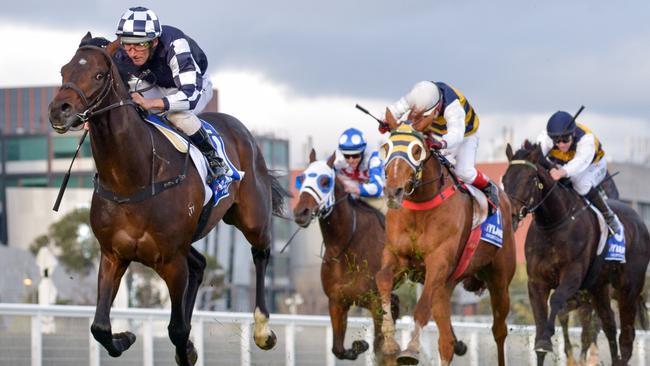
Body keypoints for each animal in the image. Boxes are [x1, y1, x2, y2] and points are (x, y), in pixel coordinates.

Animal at [48, 33, 286, 364]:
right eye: (63, 71)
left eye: (98, 75)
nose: (59, 110)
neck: (132, 178)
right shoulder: (113, 255)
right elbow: (100, 327)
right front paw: (126, 337)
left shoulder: (173, 261)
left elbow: (176, 330)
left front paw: (184, 347)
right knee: (199, 264)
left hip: (251, 218)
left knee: (261, 253)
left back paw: (263, 330)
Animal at [292, 149, 398, 360]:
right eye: (302, 178)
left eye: (325, 181)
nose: (301, 213)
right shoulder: (336, 301)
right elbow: (338, 349)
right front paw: (358, 346)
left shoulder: (375, 303)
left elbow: (380, 348)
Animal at [378, 113, 512, 364]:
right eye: (385, 148)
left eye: (416, 150)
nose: (393, 192)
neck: (421, 205)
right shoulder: (396, 256)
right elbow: (382, 279)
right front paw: (390, 342)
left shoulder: (438, 262)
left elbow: (421, 308)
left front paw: (411, 349)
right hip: (446, 286)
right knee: (447, 342)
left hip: (499, 278)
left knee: (499, 331)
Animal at [502, 141, 648, 366]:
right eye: (504, 179)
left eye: (529, 179)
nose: (510, 216)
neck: (555, 224)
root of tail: (640, 222)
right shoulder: (536, 280)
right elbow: (540, 320)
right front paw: (543, 344)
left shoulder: (573, 274)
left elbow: (556, 302)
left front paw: (549, 338)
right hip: (598, 289)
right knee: (609, 326)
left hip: (628, 290)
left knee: (626, 337)